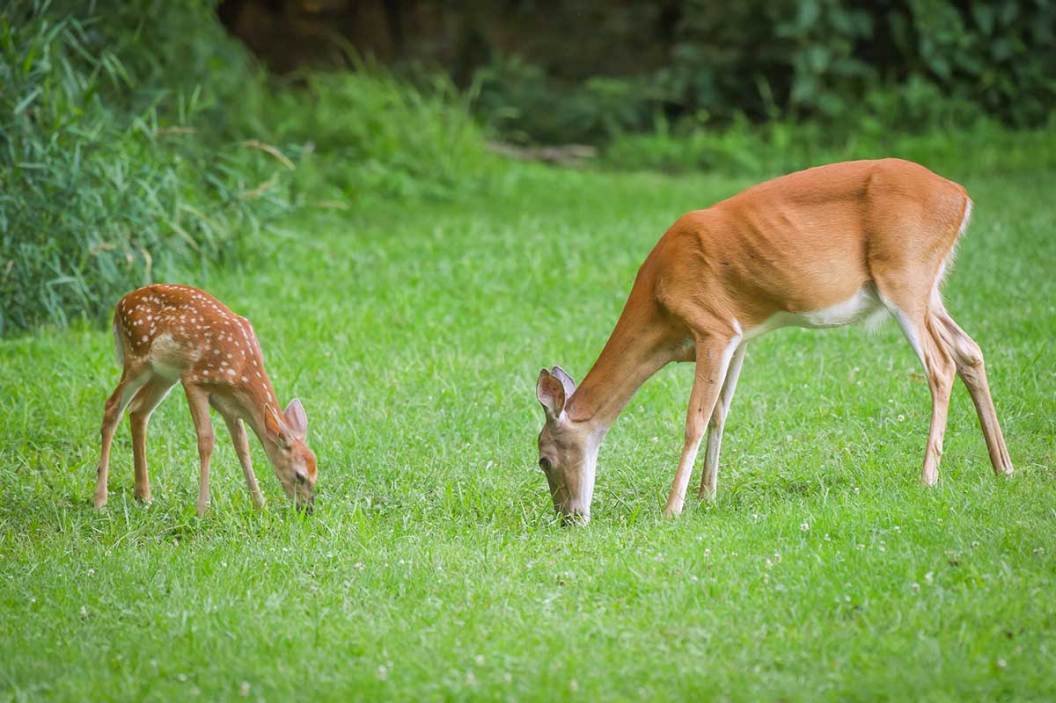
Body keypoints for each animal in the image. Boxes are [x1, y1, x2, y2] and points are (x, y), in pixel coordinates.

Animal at [95, 284, 317, 515]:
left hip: (164, 374)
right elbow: (206, 440)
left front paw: (260, 504)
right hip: (137, 358)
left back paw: (144, 496)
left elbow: (242, 446)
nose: (307, 509)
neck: (241, 368)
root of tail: (120, 302)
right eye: (300, 475)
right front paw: (202, 509)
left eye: (316, 473)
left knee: (138, 411)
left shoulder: (229, 405)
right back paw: (100, 500)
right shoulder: (194, 381)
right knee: (113, 406)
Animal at [535, 158, 1014, 524]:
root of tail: (960, 195)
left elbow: (694, 419)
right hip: (929, 288)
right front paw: (707, 495)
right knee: (970, 350)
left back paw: (928, 477)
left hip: (905, 275)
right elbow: (720, 414)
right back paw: (1003, 468)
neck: (660, 306)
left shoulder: (711, 325)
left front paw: (672, 508)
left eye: (543, 458)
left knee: (940, 364)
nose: (568, 519)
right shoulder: (740, 335)